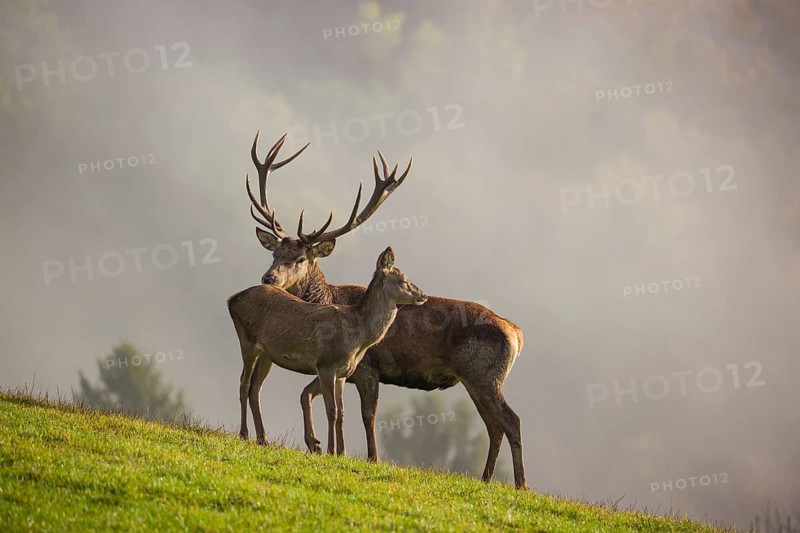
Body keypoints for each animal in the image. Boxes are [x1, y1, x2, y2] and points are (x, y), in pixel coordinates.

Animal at [229, 246, 427, 455]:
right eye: (404, 280)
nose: (423, 296)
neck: (359, 337)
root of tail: (232, 300)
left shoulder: (342, 373)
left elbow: (341, 413)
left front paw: (342, 453)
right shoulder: (325, 365)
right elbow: (331, 410)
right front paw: (330, 450)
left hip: (267, 354)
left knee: (255, 388)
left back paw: (263, 439)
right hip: (247, 339)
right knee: (243, 383)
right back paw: (244, 433)